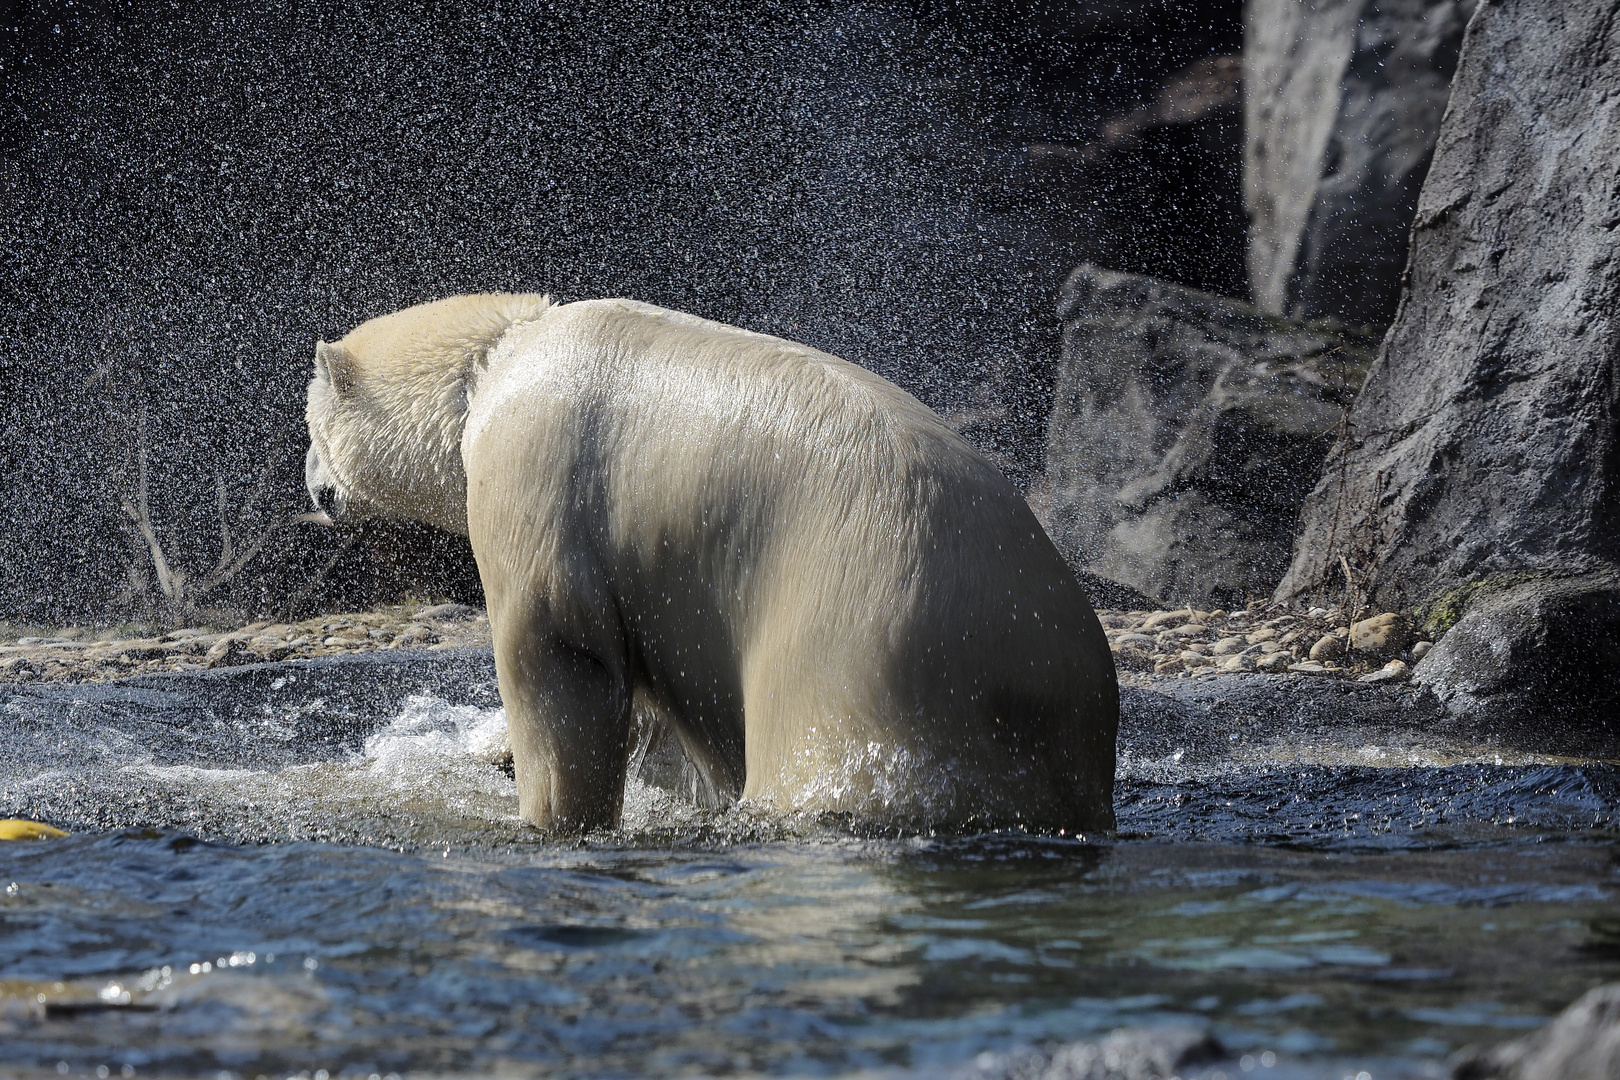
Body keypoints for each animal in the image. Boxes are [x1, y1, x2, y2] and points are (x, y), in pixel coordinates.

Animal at [301, 291, 1114, 835]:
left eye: (309, 426)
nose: (311, 486)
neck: (494, 359)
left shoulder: (534, 476)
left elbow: (557, 651)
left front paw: (548, 814)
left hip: (855, 650)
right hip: (1042, 703)